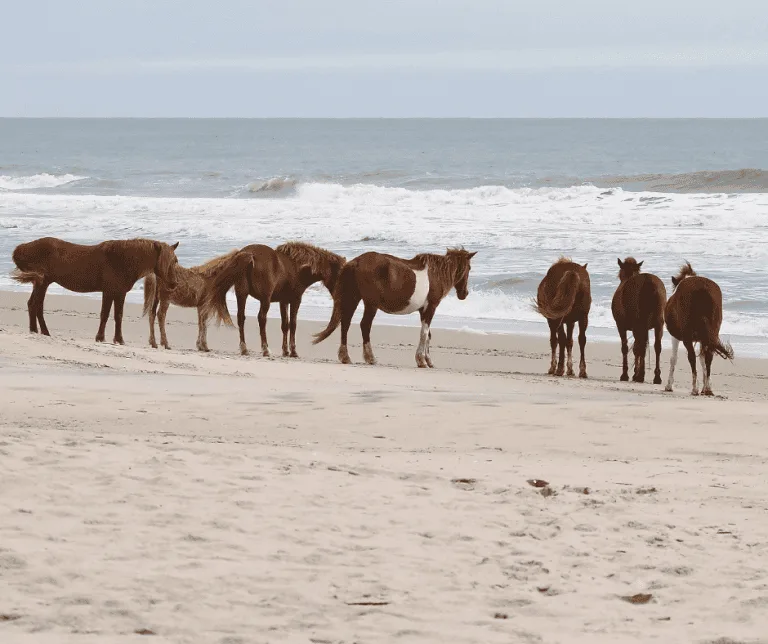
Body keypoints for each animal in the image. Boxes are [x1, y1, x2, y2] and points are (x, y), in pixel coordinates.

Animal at [11, 236, 179, 344]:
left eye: (175, 261)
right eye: (168, 262)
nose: (174, 283)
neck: (122, 259)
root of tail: (21, 248)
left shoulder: (120, 293)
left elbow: (118, 315)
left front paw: (119, 339)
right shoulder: (109, 291)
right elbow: (104, 314)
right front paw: (100, 337)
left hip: (40, 282)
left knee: (33, 304)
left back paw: (35, 330)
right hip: (42, 282)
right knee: (37, 305)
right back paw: (44, 331)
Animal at [204, 242, 348, 358]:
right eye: (340, 275)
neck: (297, 267)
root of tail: (250, 254)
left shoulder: (283, 301)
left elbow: (285, 325)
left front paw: (285, 351)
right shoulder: (295, 300)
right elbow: (293, 324)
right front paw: (293, 352)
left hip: (242, 294)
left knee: (241, 318)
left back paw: (244, 349)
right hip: (265, 299)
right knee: (261, 318)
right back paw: (265, 349)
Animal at [310, 247, 474, 368]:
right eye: (469, 267)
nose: (464, 294)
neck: (435, 274)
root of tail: (356, 262)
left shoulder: (424, 310)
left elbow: (428, 335)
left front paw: (428, 360)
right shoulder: (431, 307)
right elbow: (424, 333)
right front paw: (422, 360)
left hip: (354, 298)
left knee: (346, 323)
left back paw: (345, 357)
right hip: (371, 304)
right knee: (364, 325)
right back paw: (370, 358)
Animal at [612, 256, 664, 384]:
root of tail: (648, 281)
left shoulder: (621, 326)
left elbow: (626, 348)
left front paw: (626, 374)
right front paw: (635, 372)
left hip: (639, 325)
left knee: (640, 347)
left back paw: (640, 375)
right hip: (658, 325)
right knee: (657, 347)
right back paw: (656, 377)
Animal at [664, 262, 736, 394]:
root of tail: (703, 289)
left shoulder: (675, 337)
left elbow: (673, 359)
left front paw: (669, 385)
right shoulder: (704, 338)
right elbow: (703, 359)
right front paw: (706, 385)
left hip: (687, 337)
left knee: (692, 357)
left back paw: (695, 388)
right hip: (712, 333)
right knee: (708, 357)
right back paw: (707, 389)